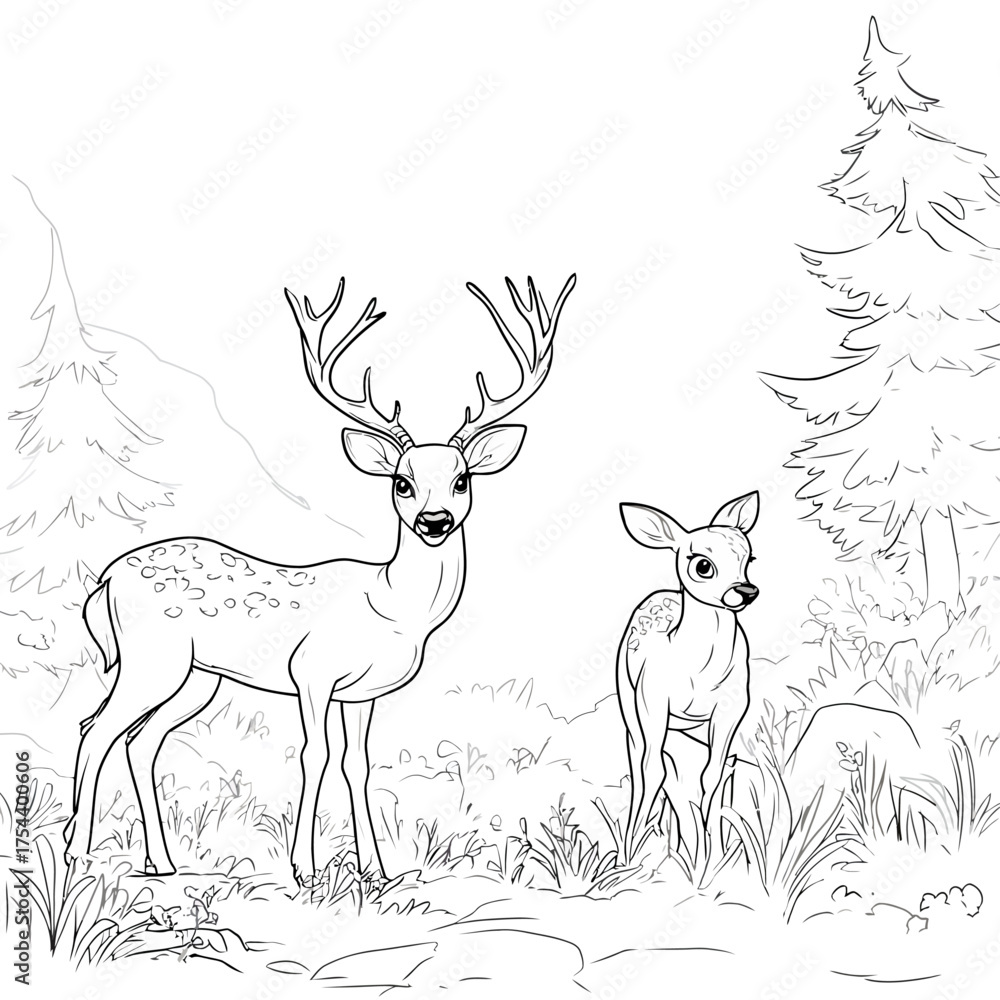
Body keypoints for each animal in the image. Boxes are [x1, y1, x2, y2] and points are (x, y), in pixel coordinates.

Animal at [63, 272, 576, 888]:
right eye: (401, 482)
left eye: (462, 479)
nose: (434, 522)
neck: (394, 610)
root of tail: (103, 582)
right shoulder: (311, 671)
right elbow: (315, 754)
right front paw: (303, 869)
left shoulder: (364, 693)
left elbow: (358, 764)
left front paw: (376, 871)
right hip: (150, 658)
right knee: (95, 729)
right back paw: (76, 852)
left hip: (197, 677)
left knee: (141, 741)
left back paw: (161, 863)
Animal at [615, 491, 760, 871]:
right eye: (703, 565)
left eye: (749, 558)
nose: (746, 591)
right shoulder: (652, 703)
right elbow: (652, 772)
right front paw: (630, 858)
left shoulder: (733, 706)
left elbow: (713, 774)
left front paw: (714, 854)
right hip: (631, 708)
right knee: (643, 766)